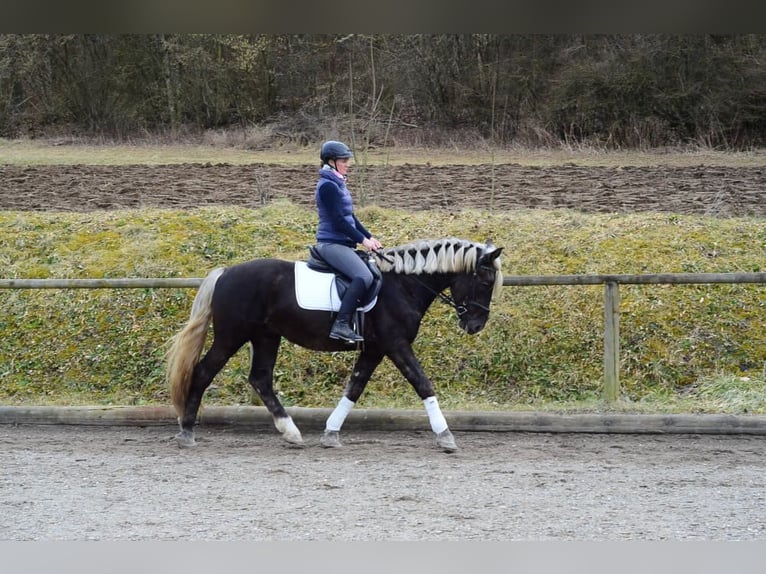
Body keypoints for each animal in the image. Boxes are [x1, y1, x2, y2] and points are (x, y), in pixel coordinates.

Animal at [165, 238, 508, 454]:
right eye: (484, 281)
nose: (475, 325)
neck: (404, 285)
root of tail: (225, 273)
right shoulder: (395, 344)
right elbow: (422, 383)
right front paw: (446, 437)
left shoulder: (375, 349)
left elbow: (354, 387)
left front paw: (330, 434)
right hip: (232, 335)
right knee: (203, 372)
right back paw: (187, 432)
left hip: (266, 336)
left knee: (260, 379)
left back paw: (291, 432)